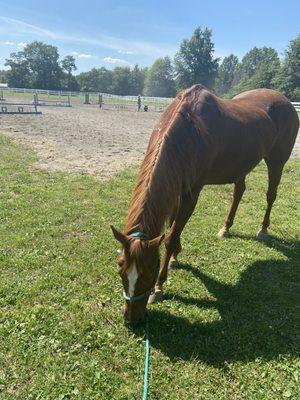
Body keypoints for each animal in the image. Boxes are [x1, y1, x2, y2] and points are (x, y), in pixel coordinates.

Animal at [111, 85, 298, 324]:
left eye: (150, 272)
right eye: (120, 268)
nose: (131, 319)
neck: (190, 130)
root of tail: (285, 100)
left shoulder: (192, 192)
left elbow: (171, 235)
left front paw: (160, 287)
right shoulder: (178, 184)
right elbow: (172, 225)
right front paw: (175, 257)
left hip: (277, 161)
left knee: (270, 195)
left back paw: (263, 230)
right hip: (241, 165)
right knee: (239, 192)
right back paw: (226, 228)